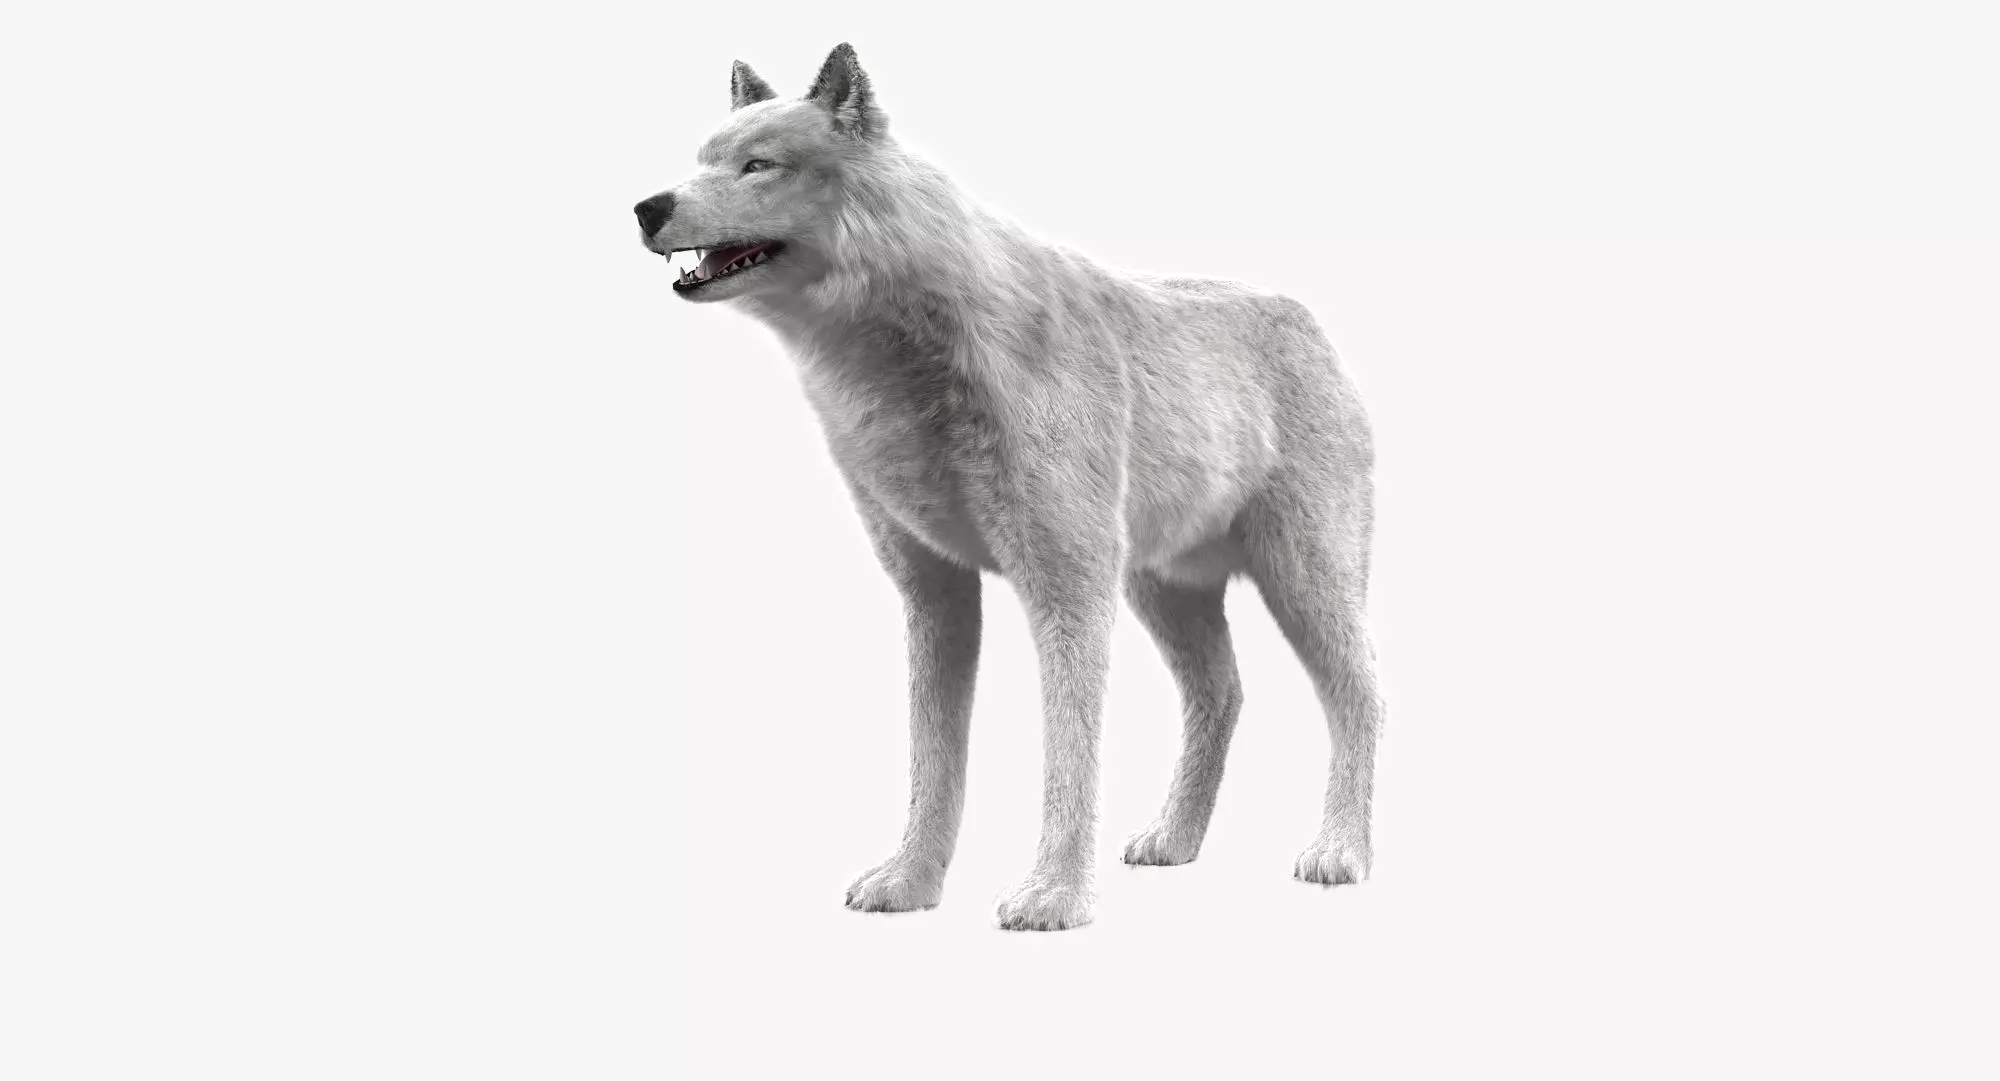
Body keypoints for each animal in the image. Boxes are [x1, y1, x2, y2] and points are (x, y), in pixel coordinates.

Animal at [635, 44, 1384, 931]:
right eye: (701, 159)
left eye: (757, 165)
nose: (646, 207)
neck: (903, 359)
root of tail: (1307, 318)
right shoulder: (936, 592)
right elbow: (933, 761)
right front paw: (911, 883)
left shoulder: (1068, 588)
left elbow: (1067, 754)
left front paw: (1054, 895)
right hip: (1163, 591)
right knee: (1225, 694)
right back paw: (1173, 839)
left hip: (1300, 580)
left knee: (1361, 694)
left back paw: (1341, 850)